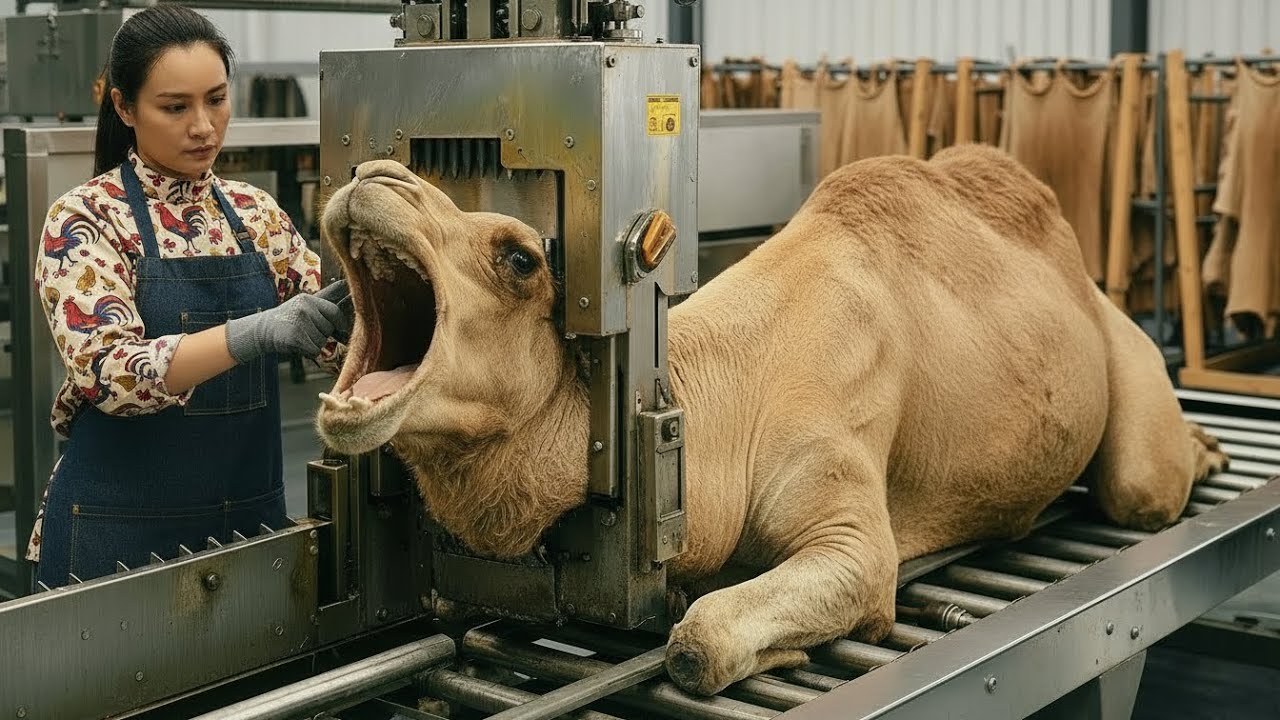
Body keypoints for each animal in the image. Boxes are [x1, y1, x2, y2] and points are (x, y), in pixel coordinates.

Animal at [314, 144, 1227, 696]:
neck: (713, 410)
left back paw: (1207, 451)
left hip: (1117, 349)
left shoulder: (849, 523)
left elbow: (699, 642)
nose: (375, 174)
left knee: (1142, 486)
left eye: (520, 257)